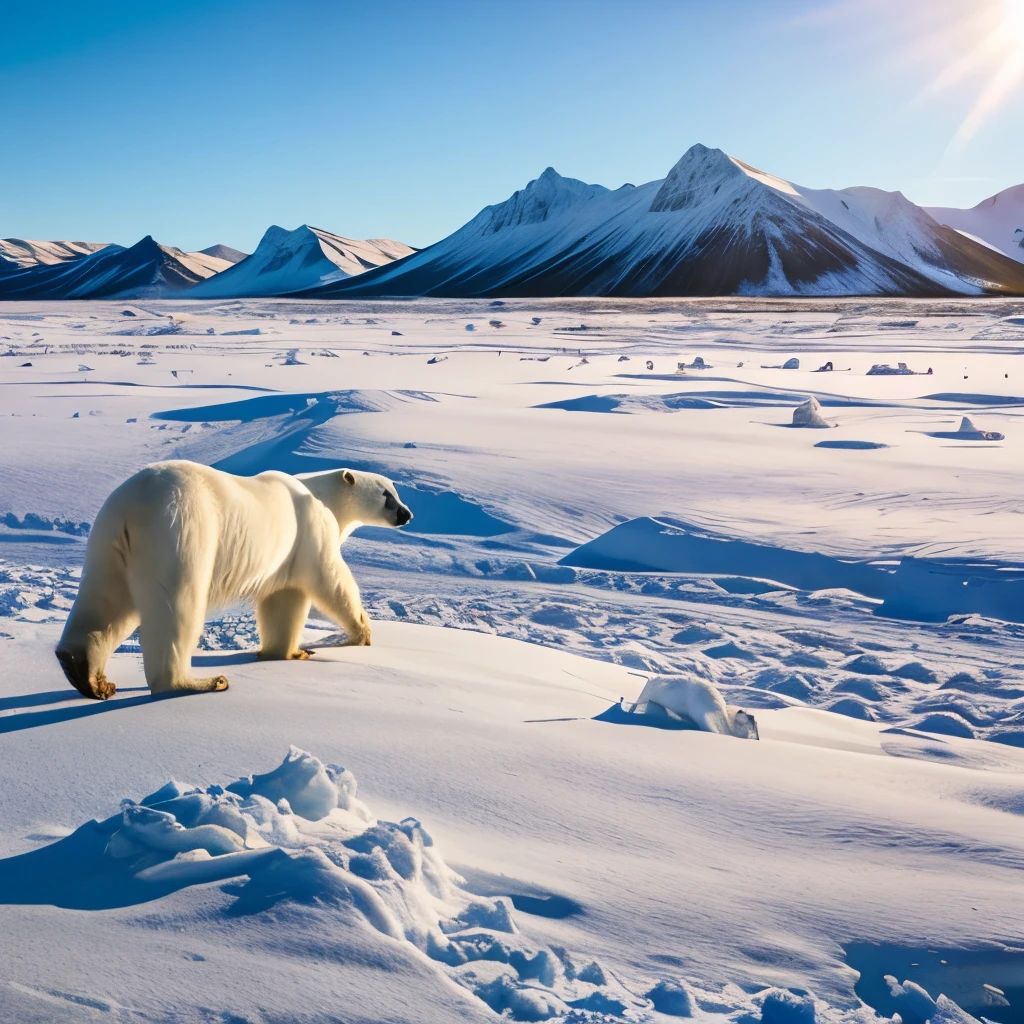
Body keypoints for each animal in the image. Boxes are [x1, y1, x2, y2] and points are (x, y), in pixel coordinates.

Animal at [55, 460, 411, 700]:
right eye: (386, 494)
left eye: (396, 490)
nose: (407, 514)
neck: (318, 493)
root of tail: (129, 509)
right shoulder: (310, 530)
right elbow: (330, 579)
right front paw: (361, 633)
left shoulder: (287, 552)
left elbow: (283, 600)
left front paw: (287, 652)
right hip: (180, 531)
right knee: (176, 607)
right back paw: (200, 683)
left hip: (107, 544)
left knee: (106, 603)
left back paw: (87, 674)